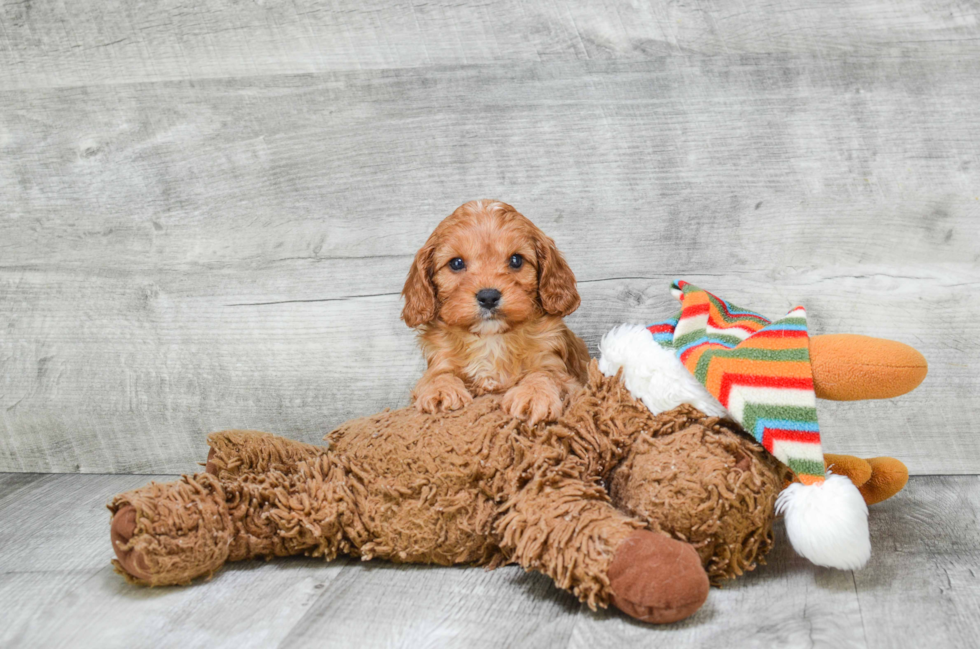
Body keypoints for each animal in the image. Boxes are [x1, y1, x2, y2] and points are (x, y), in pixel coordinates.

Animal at [400, 200, 588, 428]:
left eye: (516, 260)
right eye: (456, 263)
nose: (488, 297)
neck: (491, 339)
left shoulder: (559, 368)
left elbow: (544, 373)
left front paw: (534, 395)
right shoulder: (440, 360)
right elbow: (437, 375)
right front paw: (440, 389)